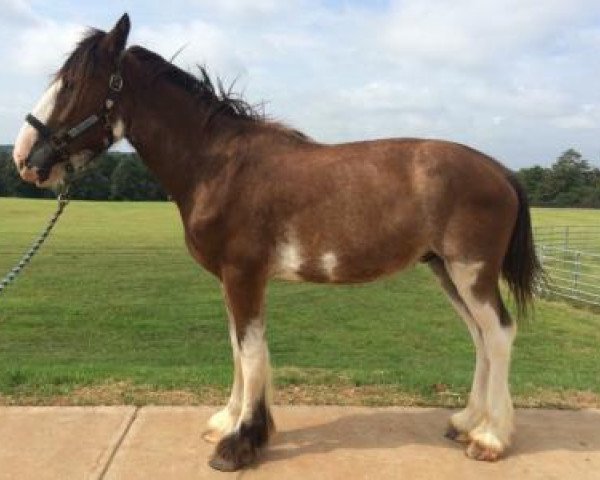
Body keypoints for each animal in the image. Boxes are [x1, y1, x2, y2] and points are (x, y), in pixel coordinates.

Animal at [12, 13, 540, 470]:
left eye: (72, 84)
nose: (23, 157)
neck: (219, 166)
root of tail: (501, 170)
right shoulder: (231, 280)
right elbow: (237, 348)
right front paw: (230, 422)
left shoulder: (244, 276)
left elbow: (250, 352)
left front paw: (240, 443)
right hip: (446, 271)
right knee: (480, 336)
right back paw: (467, 422)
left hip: (470, 272)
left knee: (498, 334)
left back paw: (490, 438)